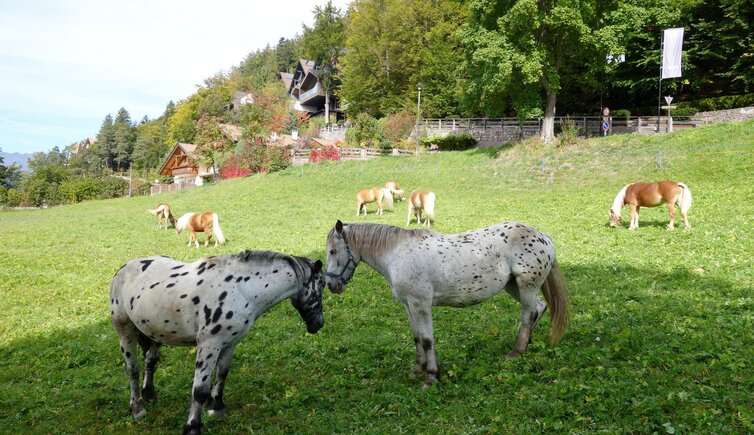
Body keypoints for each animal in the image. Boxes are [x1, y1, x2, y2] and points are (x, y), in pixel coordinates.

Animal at [109, 250, 324, 435]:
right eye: (321, 286)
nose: (318, 324)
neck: (241, 290)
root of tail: (124, 268)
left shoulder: (230, 342)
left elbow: (222, 373)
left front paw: (216, 407)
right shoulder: (209, 344)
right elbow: (199, 390)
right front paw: (192, 427)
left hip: (153, 332)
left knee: (150, 360)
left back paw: (149, 393)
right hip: (125, 330)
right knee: (132, 369)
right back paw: (137, 408)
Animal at [326, 221, 568, 388]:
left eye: (332, 251)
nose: (330, 284)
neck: (397, 254)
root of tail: (544, 237)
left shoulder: (421, 304)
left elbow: (427, 340)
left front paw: (431, 376)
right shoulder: (408, 305)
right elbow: (416, 337)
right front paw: (417, 370)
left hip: (526, 286)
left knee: (528, 314)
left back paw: (516, 352)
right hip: (513, 286)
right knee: (537, 309)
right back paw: (526, 344)